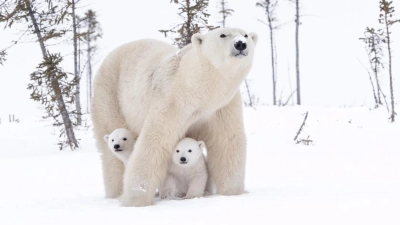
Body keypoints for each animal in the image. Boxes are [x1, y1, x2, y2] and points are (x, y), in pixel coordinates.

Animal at [92, 27, 258, 207]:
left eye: (246, 34)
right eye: (223, 35)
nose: (240, 43)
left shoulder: (222, 106)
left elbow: (226, 141)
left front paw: (233, 192)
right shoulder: (172, 101)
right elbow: (155, 141)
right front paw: (135, 200)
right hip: (110, 93)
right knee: (111, 149)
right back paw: (116, 193)